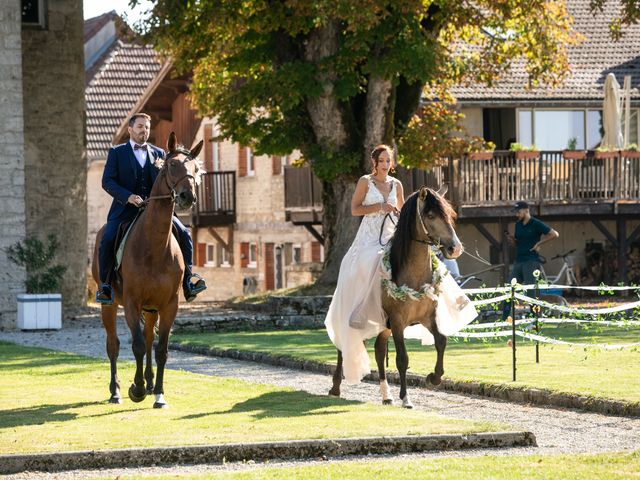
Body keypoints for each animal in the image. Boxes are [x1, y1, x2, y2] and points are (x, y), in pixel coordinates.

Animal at [90, 132, 202, 408]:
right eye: (171, 165)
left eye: (196, 169)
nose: (187, 197)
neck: (153, 245)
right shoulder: (132, 302)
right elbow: (137, 345)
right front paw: (136, 389)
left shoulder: (170, 304)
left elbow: (160, 349)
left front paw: (159, 394)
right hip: (109, 304)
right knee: (114, 345)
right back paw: (116, 391)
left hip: (152, 309)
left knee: (150, 337)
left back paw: (151, 384)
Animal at [330, 186, 460, 406]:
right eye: (431, 215)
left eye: (450, 215)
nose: (455, 248)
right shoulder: (398, 321)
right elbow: (402, 358)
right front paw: (406, 398)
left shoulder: (427, 317)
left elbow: (441, 341)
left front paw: (433, 378)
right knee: (342, 347)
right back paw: (336, 387)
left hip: (384, 326)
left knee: (379, 350)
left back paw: (386, 396)